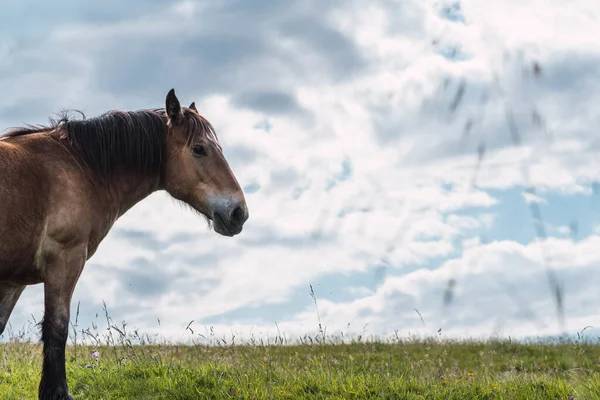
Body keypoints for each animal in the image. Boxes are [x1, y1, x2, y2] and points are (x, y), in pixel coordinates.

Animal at [0, 90, 248, 400]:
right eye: (200, 149)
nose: (239, 212)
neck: (79, 167)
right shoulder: (65, 260)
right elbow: (57, 327)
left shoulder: (14, 279)